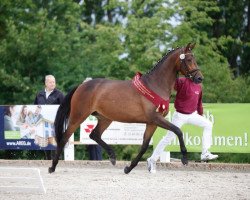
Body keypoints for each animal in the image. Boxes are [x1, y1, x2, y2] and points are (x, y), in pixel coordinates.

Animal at [48, 43, 203, 174]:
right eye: (189, 59)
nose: (199, 78)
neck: (155, 85)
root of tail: (82, 85)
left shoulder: (152, 123)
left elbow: (144, 146)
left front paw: (129, 168)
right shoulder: (155, 118)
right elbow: (178, 131)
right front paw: (185, 158)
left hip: (105, 118)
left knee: (94, 135)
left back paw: (112, 156)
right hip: (78, 116)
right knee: (65, 137)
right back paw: (52, 167)